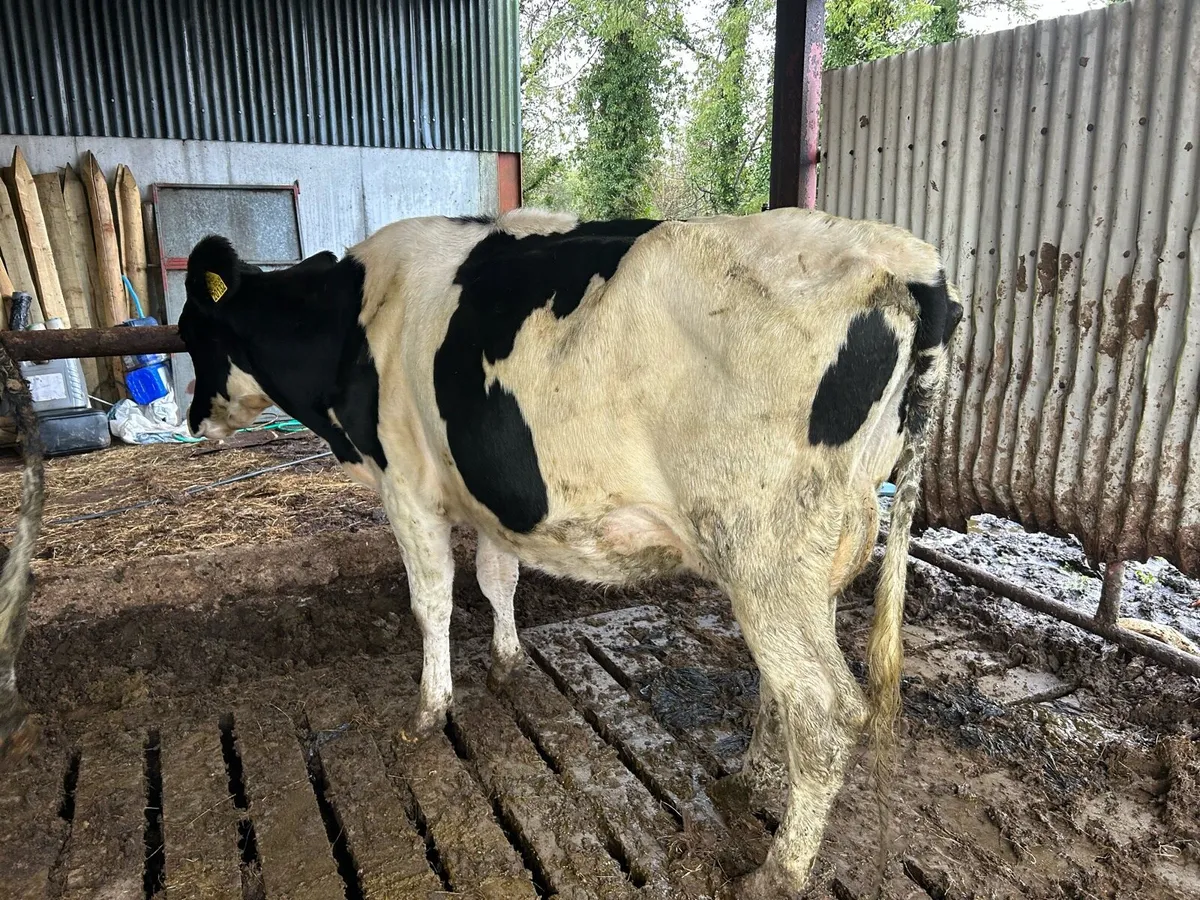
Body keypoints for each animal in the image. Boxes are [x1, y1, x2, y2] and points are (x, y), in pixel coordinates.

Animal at [170, 206, 959, 897]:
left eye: (189, 330)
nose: (189, 416)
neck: (353, 320)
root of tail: (908, 262)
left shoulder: (407, 485)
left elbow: (432, 601)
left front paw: (428, 711)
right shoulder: (489, 494)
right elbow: (497, 578)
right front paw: (506, 662)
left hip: (766, 549)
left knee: (826, 710)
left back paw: (778, 871)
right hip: (809, 555)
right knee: (787, 687)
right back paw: (753, 776)